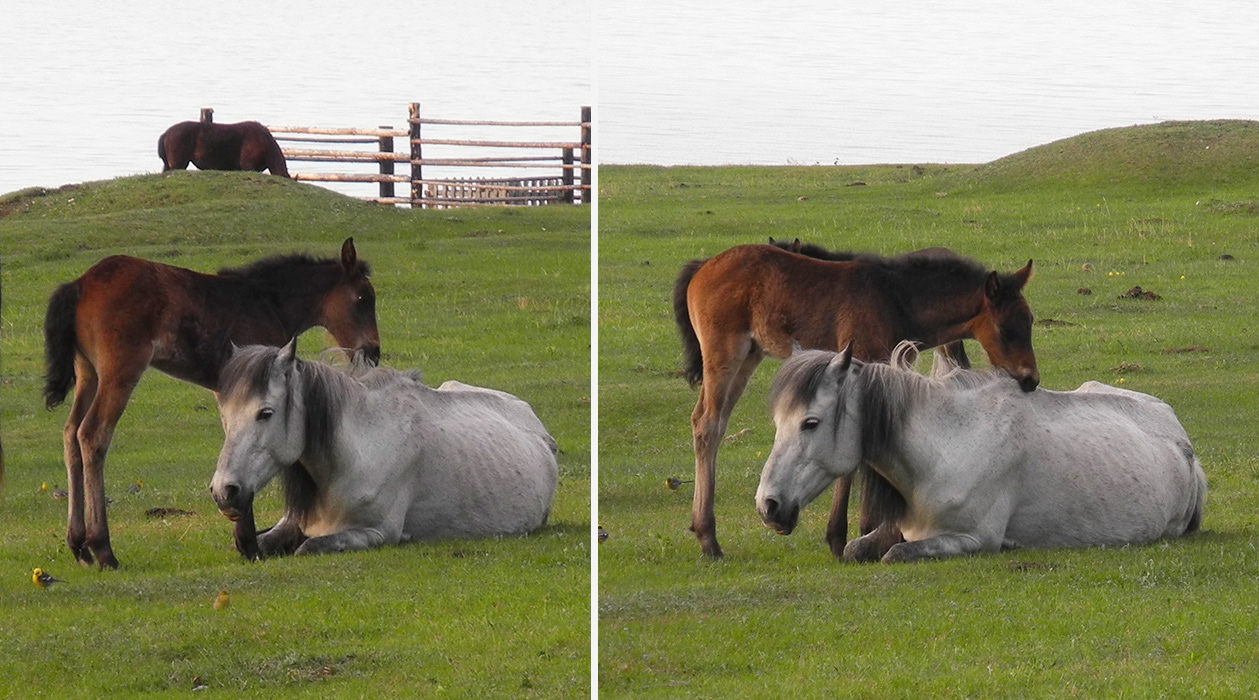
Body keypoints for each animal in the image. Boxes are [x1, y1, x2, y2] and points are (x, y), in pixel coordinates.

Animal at [43, 238, 380, 569]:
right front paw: (247, 542)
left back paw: (78, 544)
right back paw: (103, 549)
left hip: (87, 372)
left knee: (70, 433)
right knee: (92, 434)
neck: (270, 304)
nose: (374, 352)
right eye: (364, 299)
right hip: (120, 371)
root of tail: (80, 284)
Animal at [210, 339, 558, 557]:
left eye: (265, 413)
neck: (359, 448)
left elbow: (307, 547)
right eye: (223, 415)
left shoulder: (376, 533)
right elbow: (262, 542)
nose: (224, 491)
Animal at [673, 242, 1038, 558]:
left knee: (714, 423)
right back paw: (708, 538)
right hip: (724, 354)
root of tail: (703, 266)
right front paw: (848, 535)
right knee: (706, 424)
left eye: (1031, 321)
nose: (1031, 379)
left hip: (749, 355)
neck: (898, 301)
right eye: (1006, 328)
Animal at [757, 344, 1206, 562]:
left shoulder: (973, 539)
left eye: (810, 422)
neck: (947, 445)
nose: (768, 505)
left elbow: (895, 554)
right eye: (777, 422)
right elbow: (855, 548)